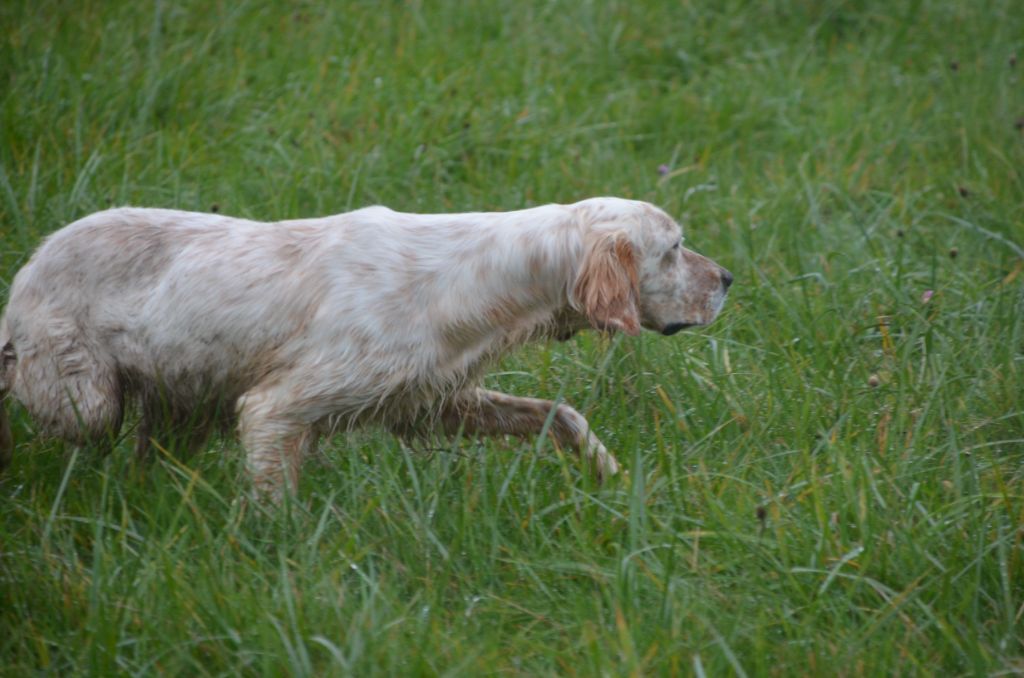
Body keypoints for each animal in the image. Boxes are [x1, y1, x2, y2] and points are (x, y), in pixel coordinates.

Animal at [4, 196, 733, 499]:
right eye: (674, 250)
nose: (728, 278)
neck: (475, 277)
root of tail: (30, 265)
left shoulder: (427, 400)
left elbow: (564, 415)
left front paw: (612, 478)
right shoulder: (276, 409)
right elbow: (276, 502)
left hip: (181, 406)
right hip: (85, 400)